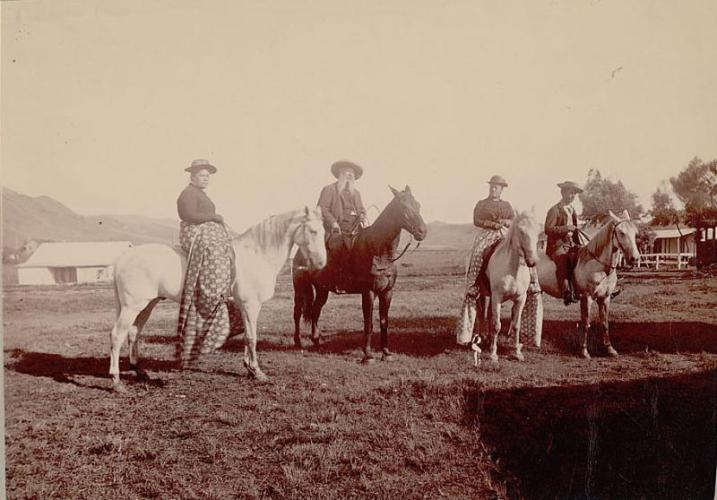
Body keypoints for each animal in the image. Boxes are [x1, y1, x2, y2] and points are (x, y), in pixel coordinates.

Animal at [110, 205, 326, 388]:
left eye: (324, 232)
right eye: (313, 231)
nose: (322, 263)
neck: (257, 254)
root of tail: (124, 257)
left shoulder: (243, 307)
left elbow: (247, 336)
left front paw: (249, 368)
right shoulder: (251, 305)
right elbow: (252, 337)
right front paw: (257, 372)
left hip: (147, 305)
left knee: (133, 333)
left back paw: (140, 372)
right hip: (132, 306)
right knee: (117, 335)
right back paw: (116, 380)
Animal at [290, 186, 426, 362]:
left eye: (418, 205)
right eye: (404, 207)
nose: (422, 232)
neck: (378, 251)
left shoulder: (387, 292)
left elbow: (384, 321)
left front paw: (386, 353)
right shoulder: (368, 292)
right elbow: (368, 323)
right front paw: (368, 355)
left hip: (322, 290)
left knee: (315, 311)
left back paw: (317, 341)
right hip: (300, 288)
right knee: (297, 312)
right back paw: (298, 342)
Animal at [536, 209, 640, 358]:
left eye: (635, 233)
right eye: (621, 232)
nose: (635, 259)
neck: (599, 266)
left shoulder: (605, 298)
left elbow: (605, 323)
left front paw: (610, 349)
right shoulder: (587, 298)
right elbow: (586, 323)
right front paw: (584, 351)